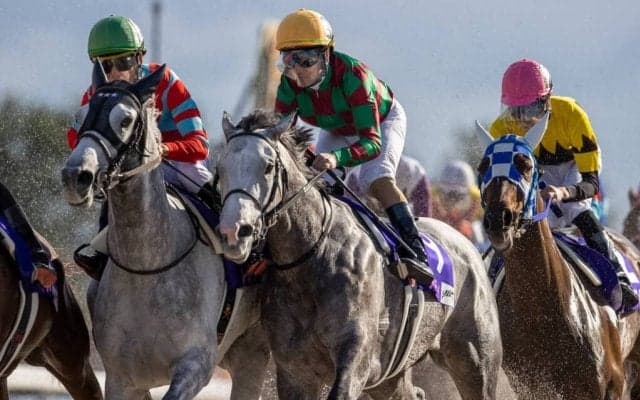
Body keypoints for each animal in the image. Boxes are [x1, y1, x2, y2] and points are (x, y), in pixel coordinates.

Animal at [60, 64, 270, 400]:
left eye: (125, 120)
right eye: (80, 116)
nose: (75, 176)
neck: (148, 266)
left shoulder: (196, 364)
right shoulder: (120, 378)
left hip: (253, 351)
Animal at [216, 110, 502, 399]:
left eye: (267, 167)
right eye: (221, 168)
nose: (235, 230)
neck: (312, 254)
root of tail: (469, 247)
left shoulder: (357, 353)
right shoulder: (295, 370)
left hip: (475, 359)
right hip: (391, 377)